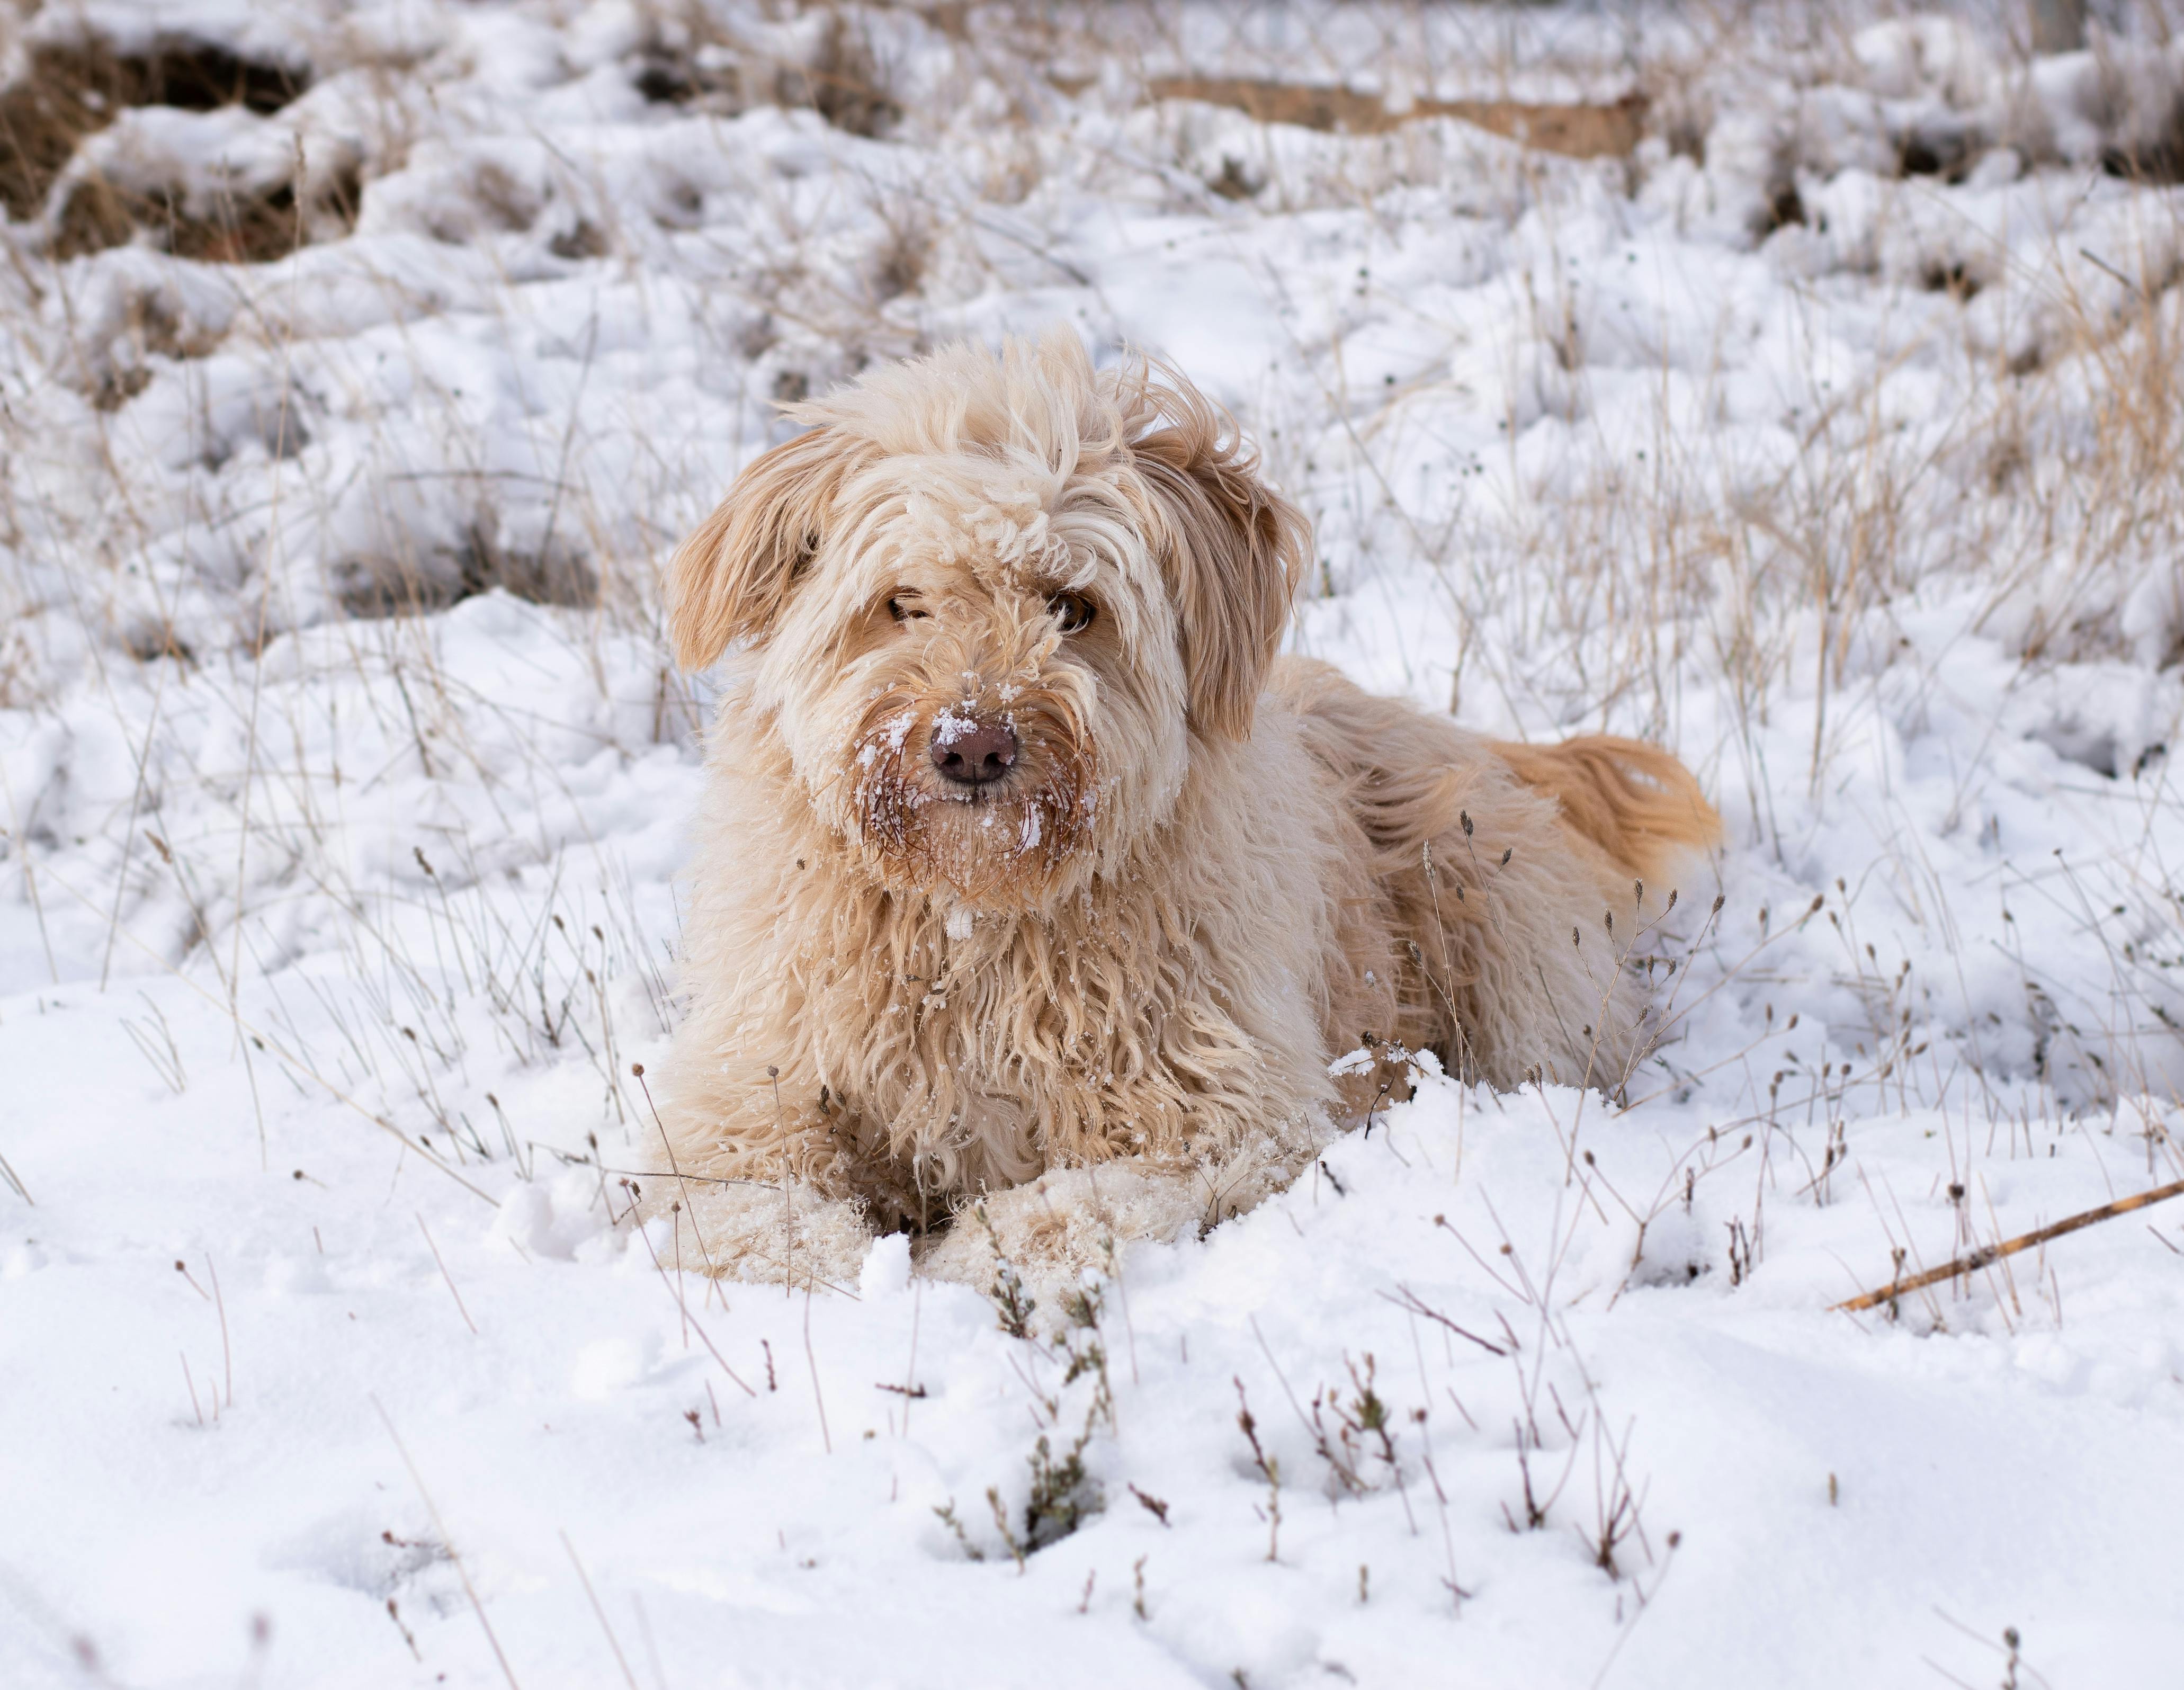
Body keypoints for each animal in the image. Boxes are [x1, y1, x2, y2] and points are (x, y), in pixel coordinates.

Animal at [646, 334, 1721, 1301]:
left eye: (1072, 605)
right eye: (903, 600)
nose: (972, 746)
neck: (975, 921)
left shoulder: (1228, 1110)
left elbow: (1074, 1203)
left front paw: (971, 1267)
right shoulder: (752, 1083)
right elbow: (744, 1203)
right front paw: (824, 1272)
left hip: (1497, 939)